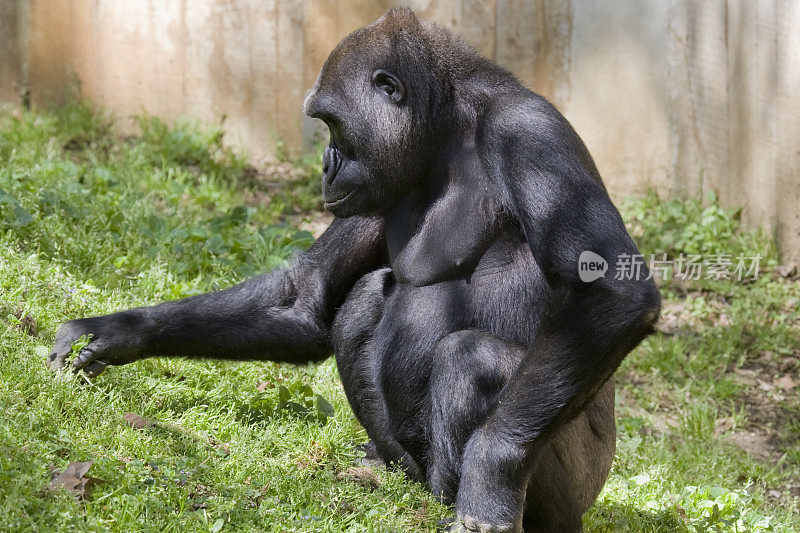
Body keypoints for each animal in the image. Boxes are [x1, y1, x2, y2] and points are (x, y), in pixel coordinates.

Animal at [51, 8, 664, 532]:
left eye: (332, 124)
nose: (325, 165)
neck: (447, 129)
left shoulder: (528, 132)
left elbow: (613, 290)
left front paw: (492, 473)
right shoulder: (376, 184)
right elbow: (307, 299)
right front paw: (119, 332)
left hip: (579, 491)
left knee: (472, 358)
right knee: (364, 301)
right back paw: (388, 470)